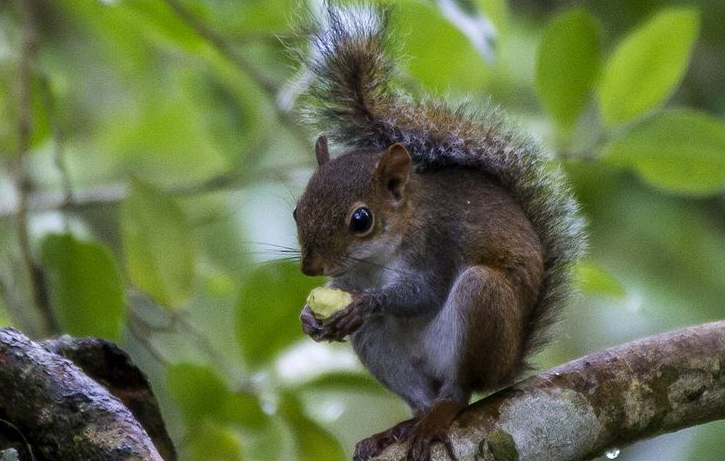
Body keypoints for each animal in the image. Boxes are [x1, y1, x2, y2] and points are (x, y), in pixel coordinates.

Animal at [292, 3, 584, 460]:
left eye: (361, 219)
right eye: (297, 210)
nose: (310, 267)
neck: (379, 259)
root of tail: (509, 363)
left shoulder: (437, 247)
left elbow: (424, 292)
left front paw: (367, 302)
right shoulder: (349, 274)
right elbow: (343, 289)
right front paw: (310, 317)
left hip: (483, 305)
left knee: (457, 391)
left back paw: (437, 416)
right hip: (385, 352)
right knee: (418, 394)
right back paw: (398, 428)